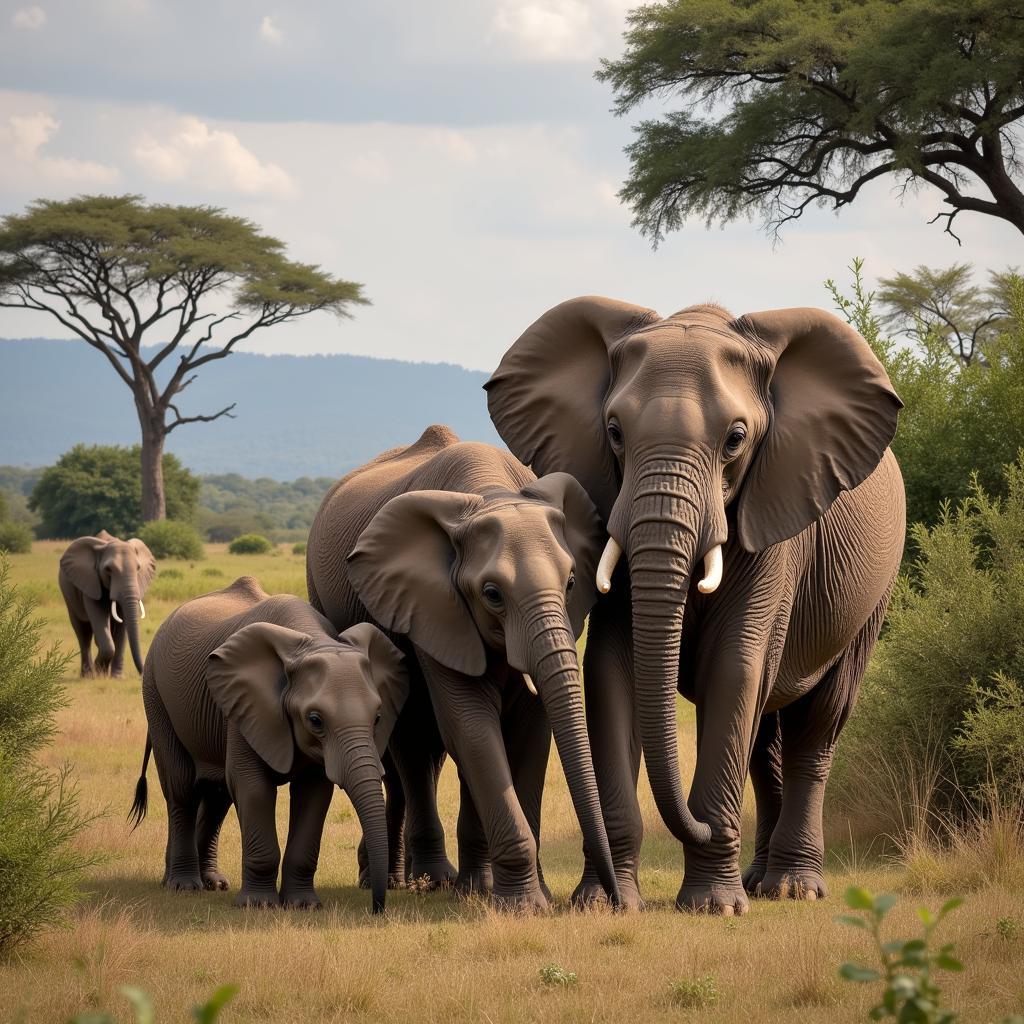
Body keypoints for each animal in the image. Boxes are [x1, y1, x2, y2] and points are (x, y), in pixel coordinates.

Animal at [58, 528, 155, 679]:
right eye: (108, 569)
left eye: (138, 568)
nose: (142, 675)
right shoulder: (90, 581)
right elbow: (98, 617)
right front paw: (99, 673)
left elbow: (122, 630)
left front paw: (116, 677)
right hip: (69, 596)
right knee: (83, 633)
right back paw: (88, 675)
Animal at [132, 577, 407, 913]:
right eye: (315, 720)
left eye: (378, 717)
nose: (376, 906)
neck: (311, 640)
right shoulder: (245, 708)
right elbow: (253, 788)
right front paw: (258, 905)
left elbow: (314, 793)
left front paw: (303, 905)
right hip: (156, 697)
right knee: (182, 789)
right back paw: (183, 886)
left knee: (217, 796)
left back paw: (210, 884)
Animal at [303, 425, 618, 913]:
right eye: (492, 594)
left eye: (570, 582)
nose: (613, 898)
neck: (489, 494)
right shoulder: (431, 605)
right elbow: (471, 725)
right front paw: (525, 907)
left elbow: (529, 731)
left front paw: (527, 896)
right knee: (414, 745)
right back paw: (423, 881)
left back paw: (458, 882)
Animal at [487, 294, 905, 913]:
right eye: (614, 432)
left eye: (735, 439)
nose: (703, 826)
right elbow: (612, 668)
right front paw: (604, 902)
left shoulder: (775, 519)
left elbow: (735, 669)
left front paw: (713, 905)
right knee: (765, 740)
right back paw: (759, 880)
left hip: (873, 595)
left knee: (818, 725)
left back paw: (791, 889)